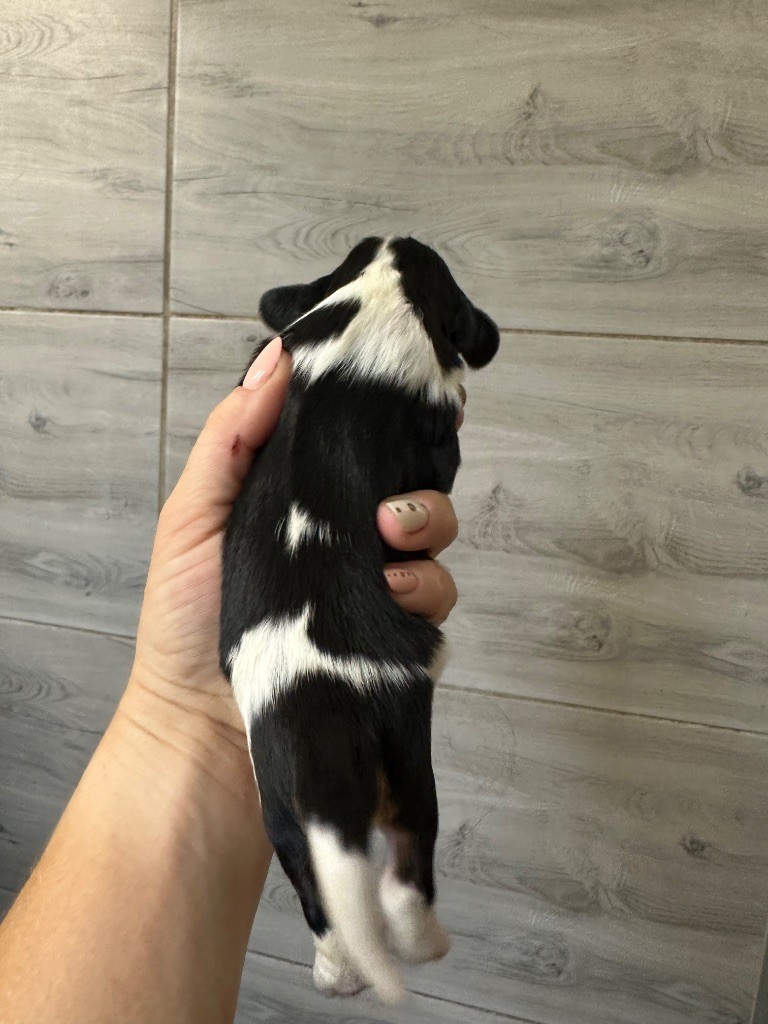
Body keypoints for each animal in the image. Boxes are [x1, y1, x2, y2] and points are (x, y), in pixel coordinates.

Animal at [220, 236, 499, 1002]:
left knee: (319, 897)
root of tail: (316, 722)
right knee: (405, 880)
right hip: (407, 760)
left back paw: (335, 974)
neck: (375, 291)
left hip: (280, 809)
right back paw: (427, 942)